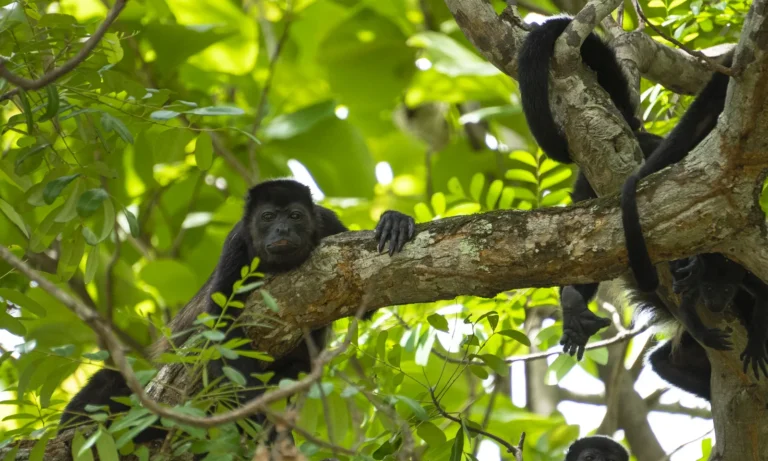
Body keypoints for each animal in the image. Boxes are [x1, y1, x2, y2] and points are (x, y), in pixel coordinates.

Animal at [58, 179, 418, 445]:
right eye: (268, 217)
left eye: (295, 216)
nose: (282, 230)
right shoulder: (236, 244)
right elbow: (222, 327)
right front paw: (257, 415)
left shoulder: (328, 222)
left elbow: (365, 303)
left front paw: (393, 219)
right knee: (108, 381)